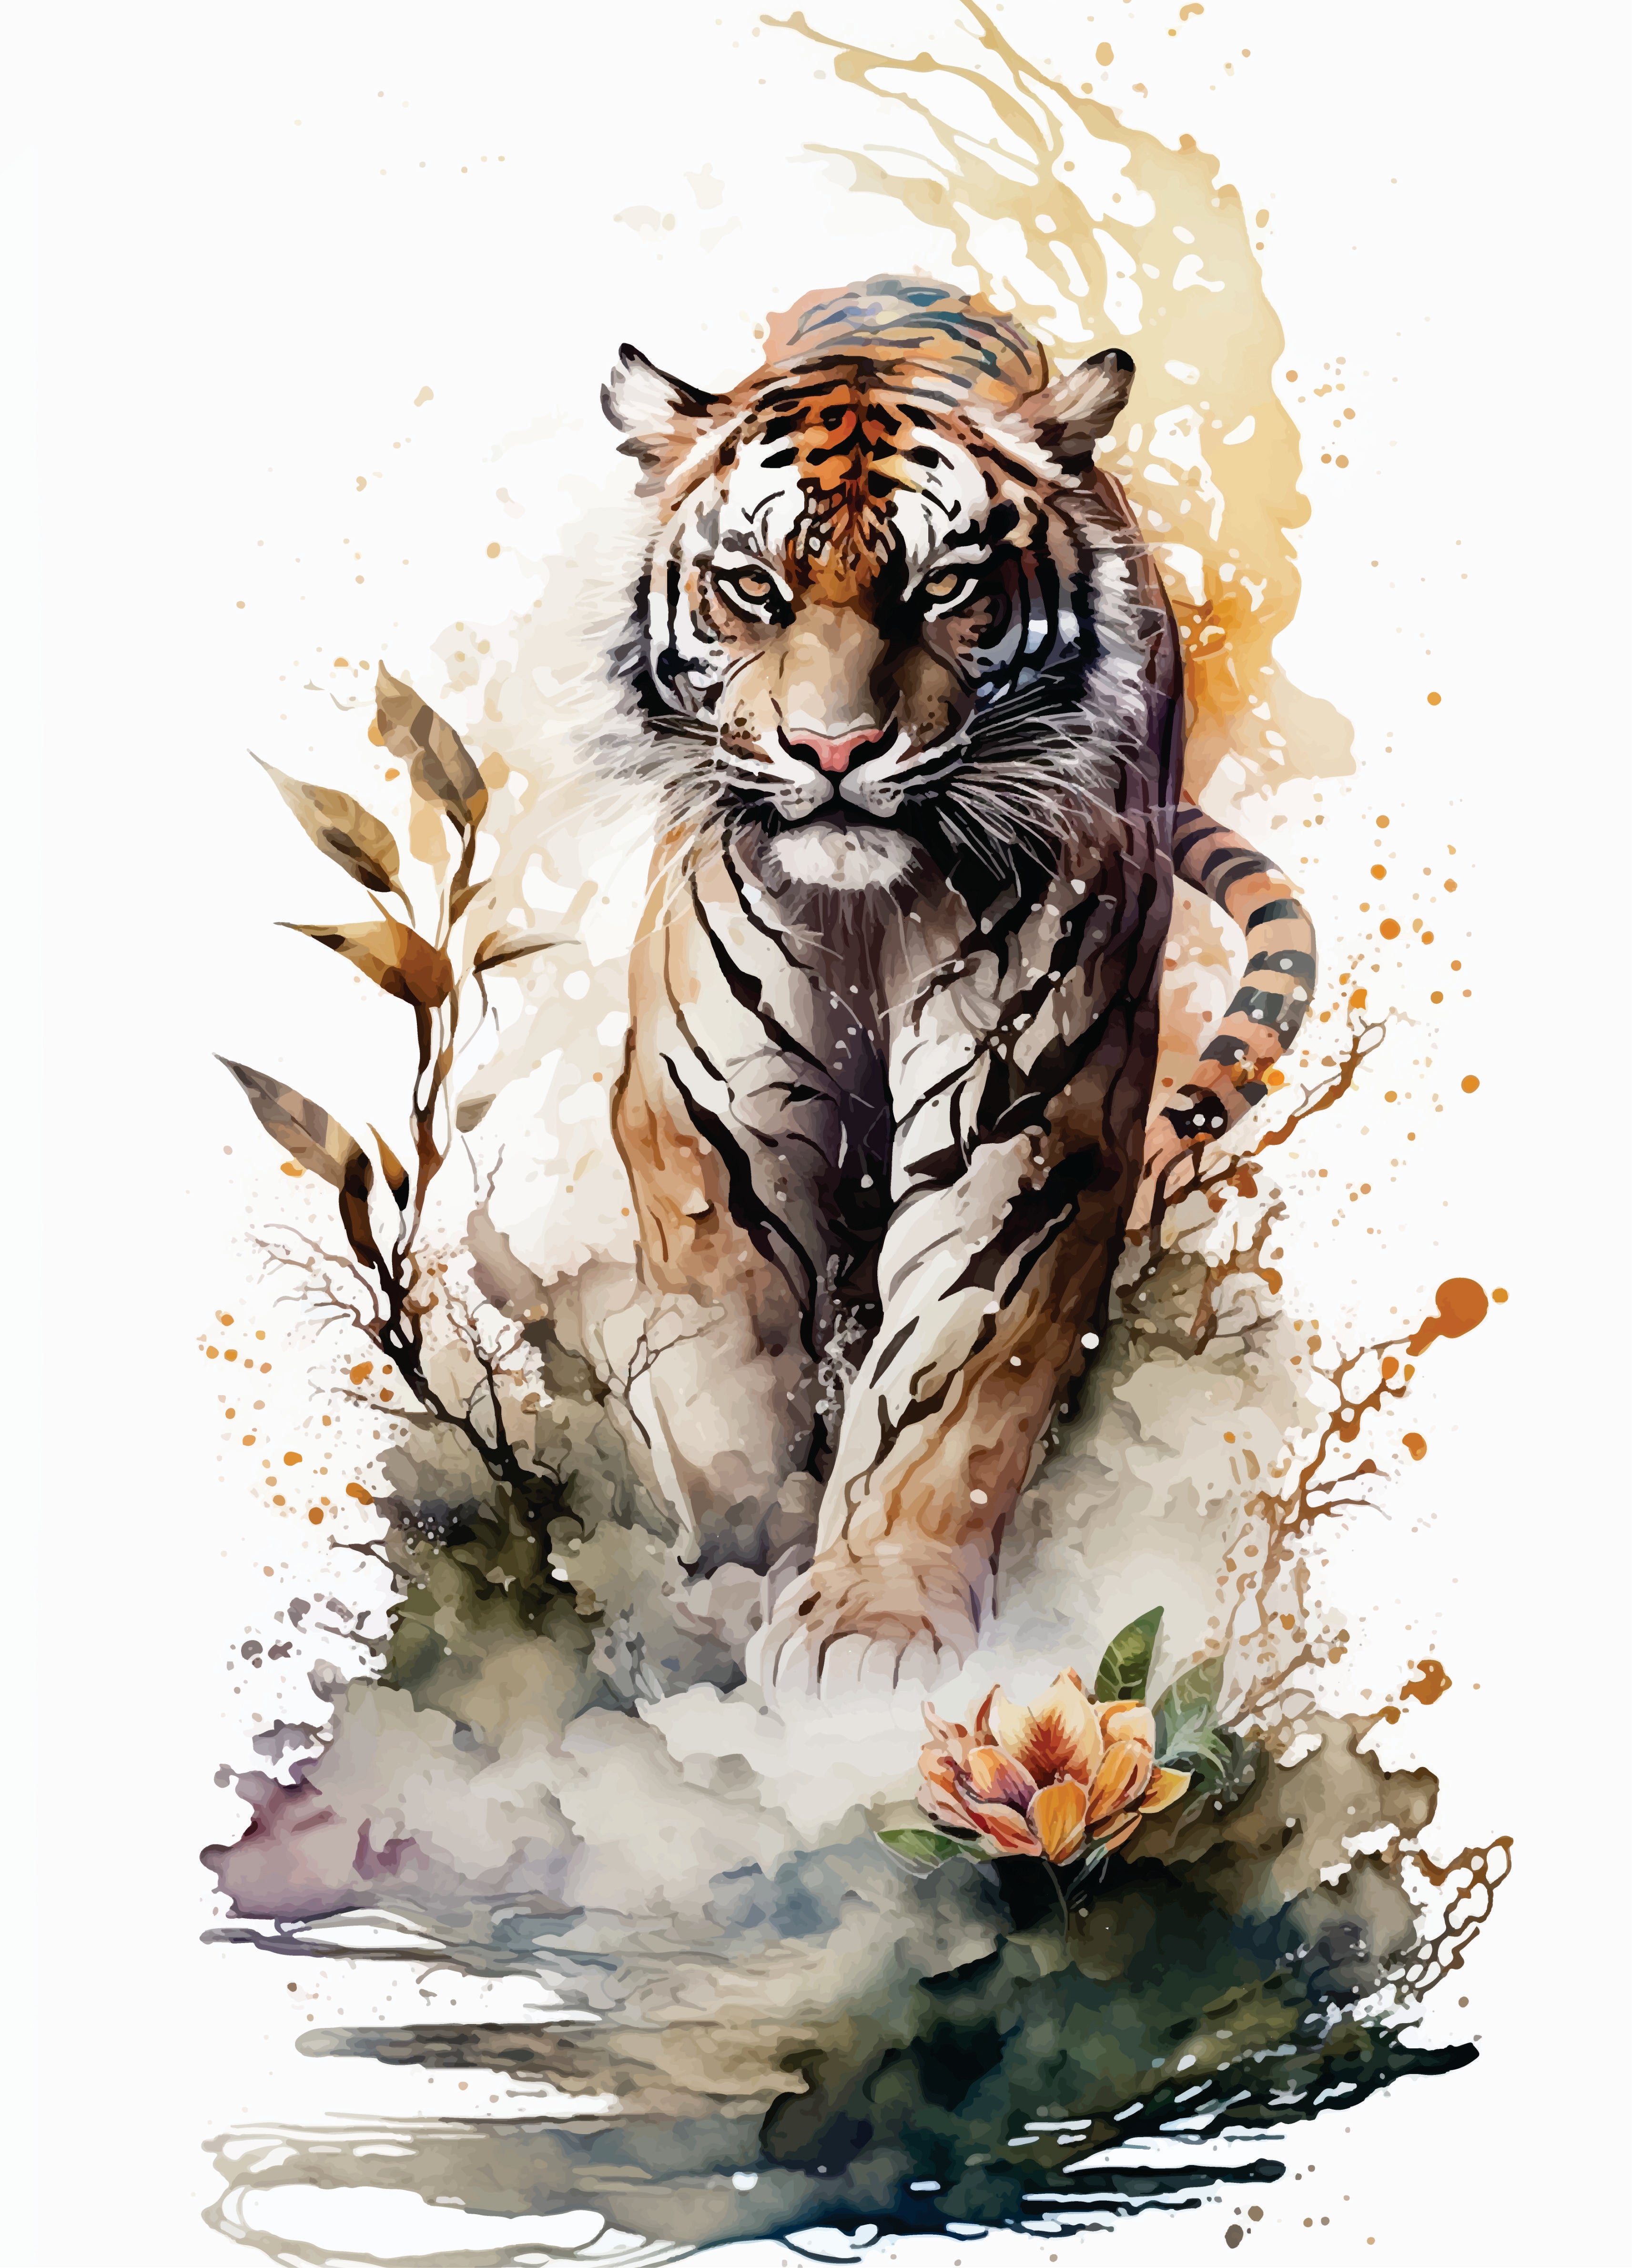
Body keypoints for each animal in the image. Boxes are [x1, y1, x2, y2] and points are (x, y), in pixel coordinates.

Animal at [597, 276, 1317, 1700]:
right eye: (753, 588)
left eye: (945, 588)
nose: (831, 751)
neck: (864, 904)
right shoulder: (708, 1120)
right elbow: (721, 1360)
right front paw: (737, 1555)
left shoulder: (1025, 1125)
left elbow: (948, 1379)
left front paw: (869, 1626)